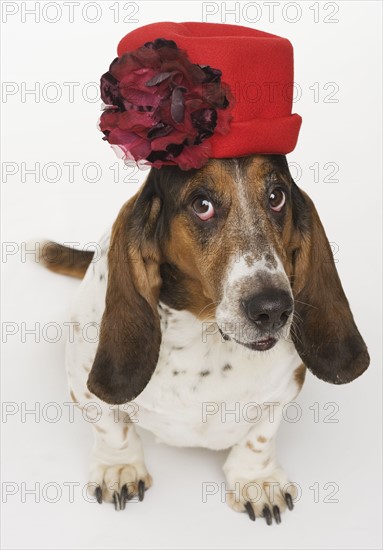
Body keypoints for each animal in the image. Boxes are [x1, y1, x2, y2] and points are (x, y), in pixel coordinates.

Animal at [38, 154, 368, 528]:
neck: (208, 338)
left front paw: (257, 481)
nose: (273, 309)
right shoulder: (82, 382)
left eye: (276, 197)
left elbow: (260, 437)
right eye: (202, 205)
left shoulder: (285, 390)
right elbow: (111, 427)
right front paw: (119, 468)